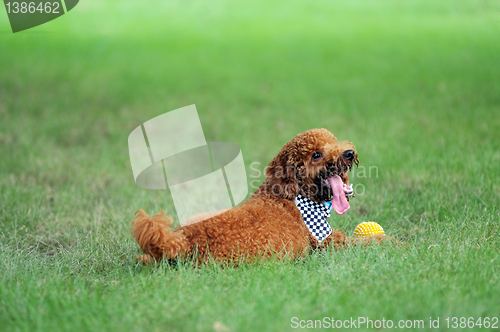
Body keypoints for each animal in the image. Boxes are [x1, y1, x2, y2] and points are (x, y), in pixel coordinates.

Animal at [132, 127, 382, 264]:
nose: (348, 153)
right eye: (316, 154)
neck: (294, 197)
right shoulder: (327, 242)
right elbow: (368, 241)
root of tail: (183, 240)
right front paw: (388, 242)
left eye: (333, 140)